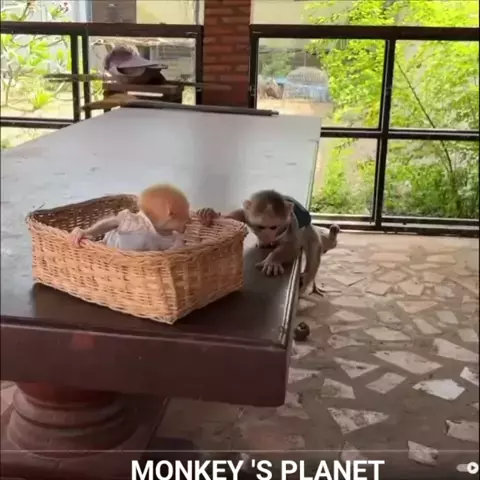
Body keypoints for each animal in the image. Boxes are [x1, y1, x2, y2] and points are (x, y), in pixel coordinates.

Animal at [198, 190, 340, 296]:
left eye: (273, 227)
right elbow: (234, 216)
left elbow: (293, 248)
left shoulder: (291, 222)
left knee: (313, 254)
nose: (267, 236)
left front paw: (273, 260)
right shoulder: (247, 215)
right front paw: (211, 213)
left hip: (309, 232)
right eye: (261, 226)